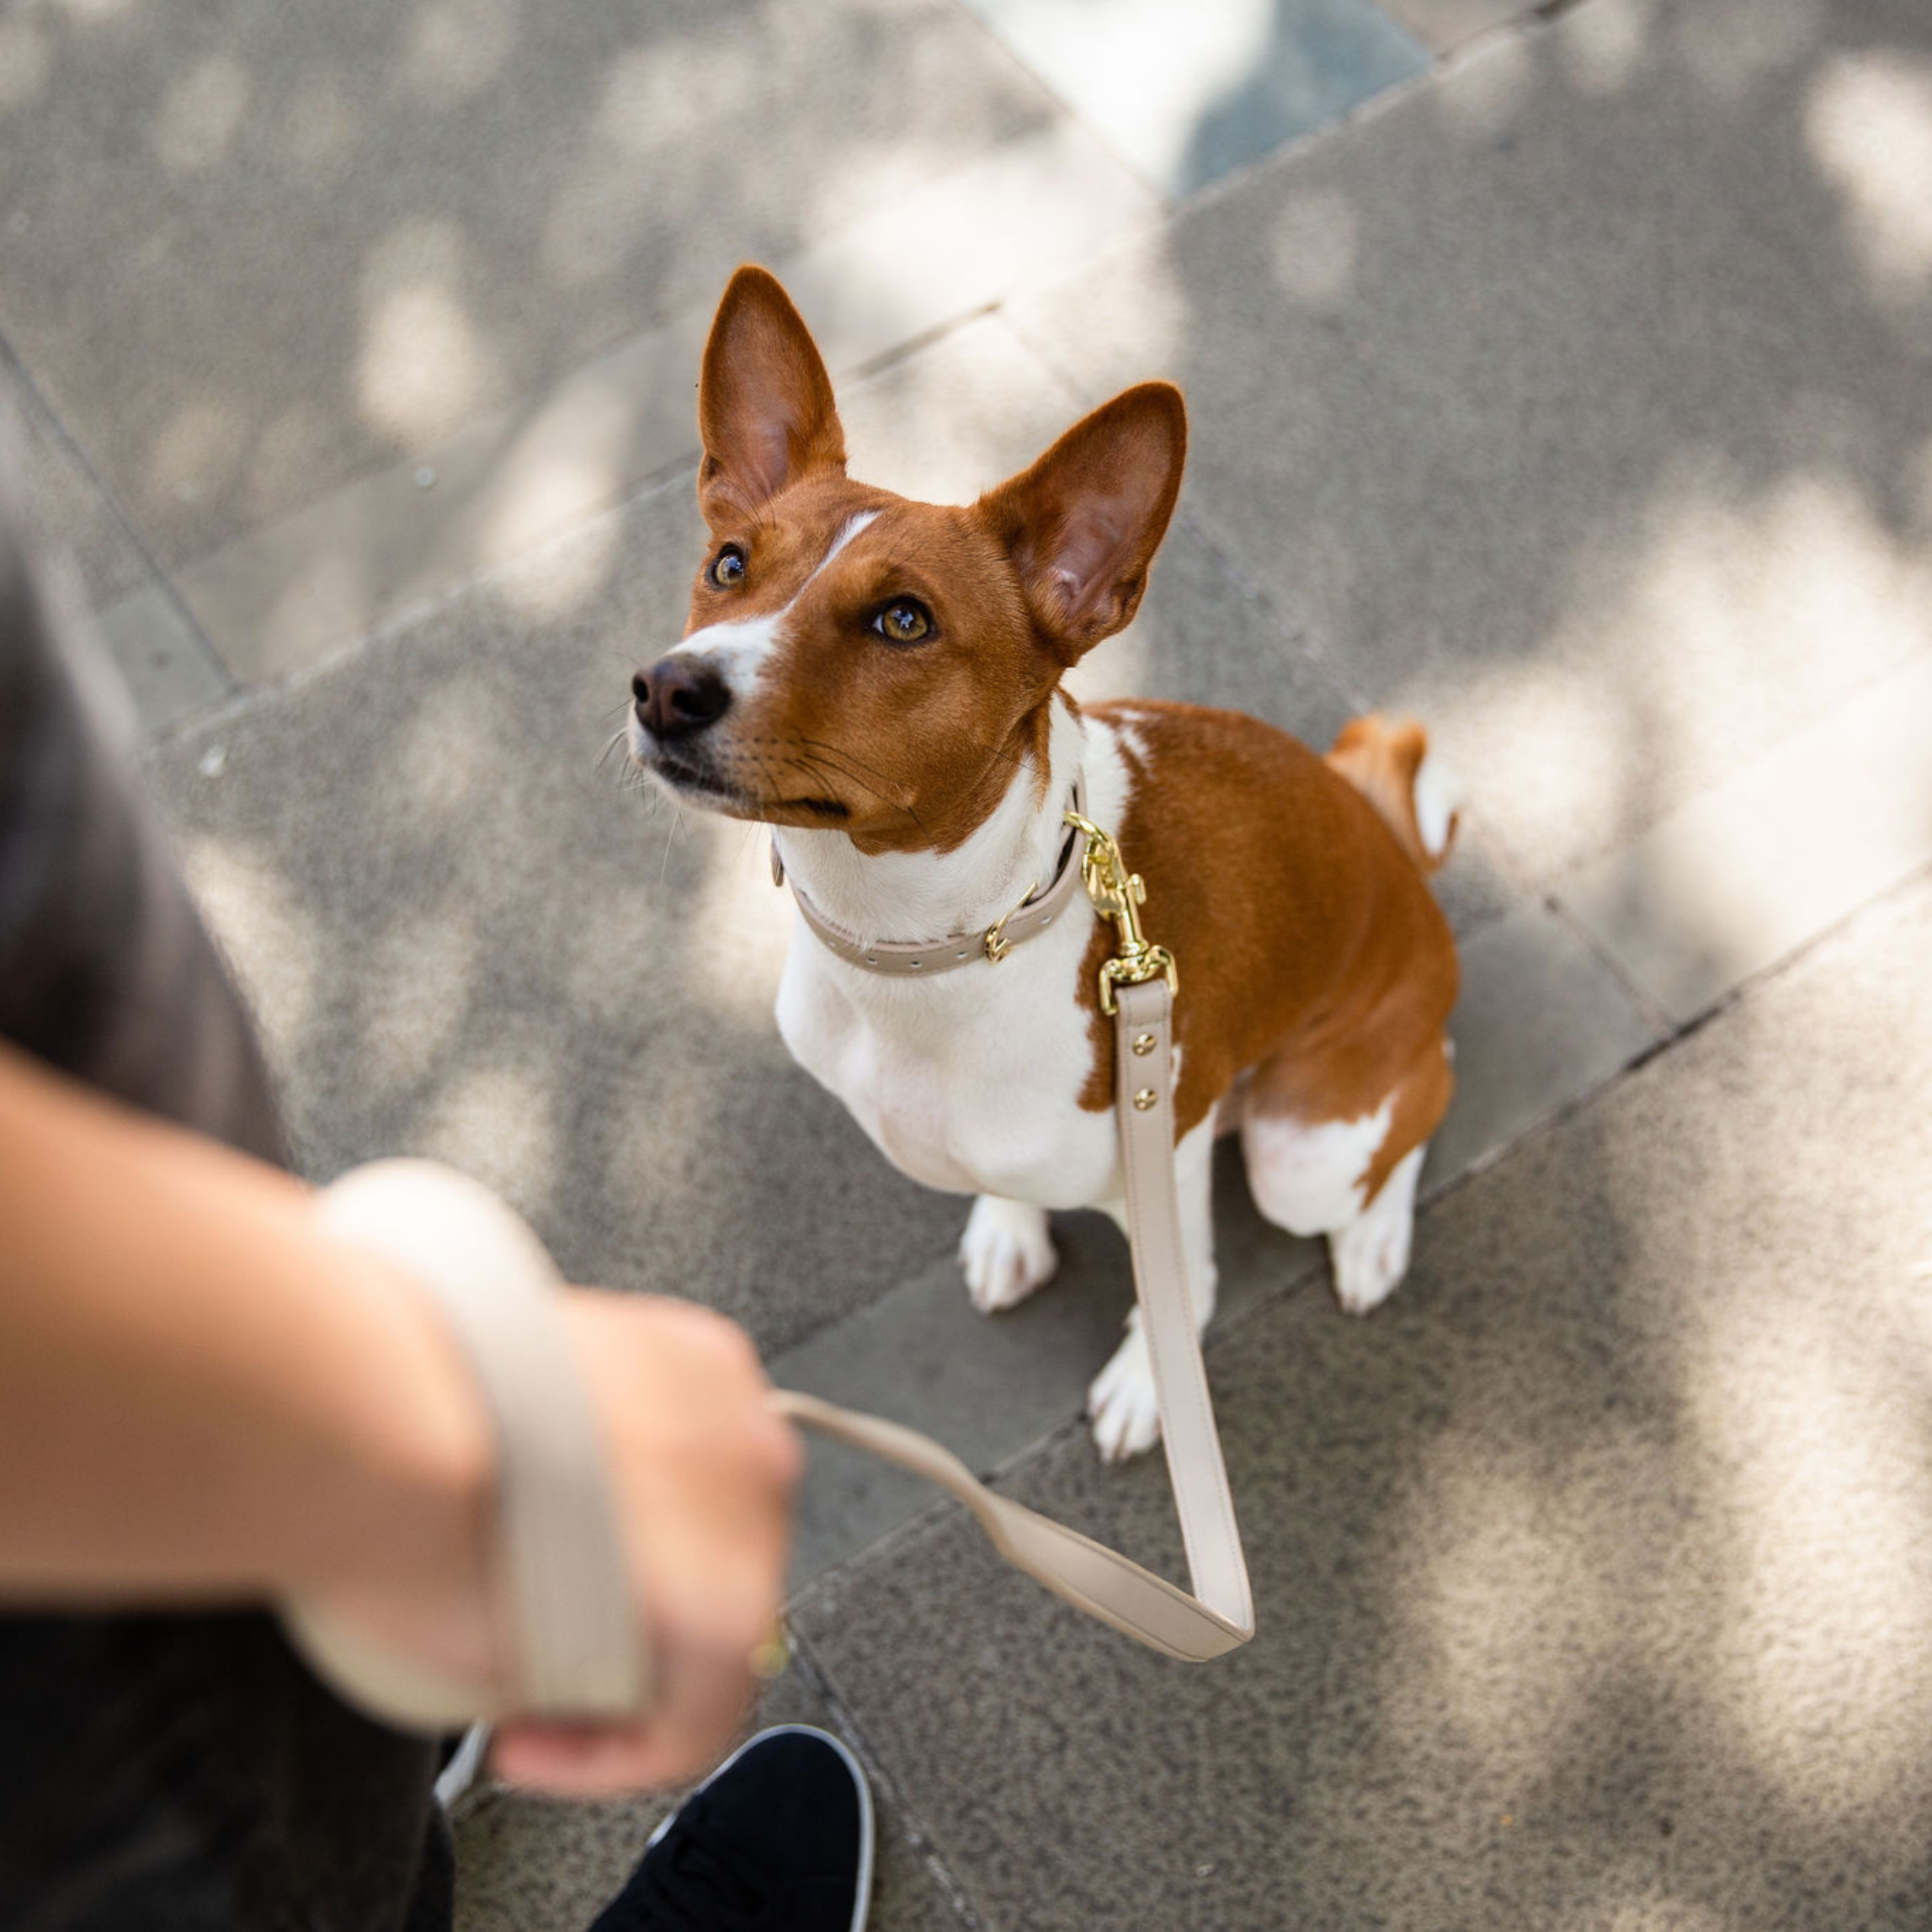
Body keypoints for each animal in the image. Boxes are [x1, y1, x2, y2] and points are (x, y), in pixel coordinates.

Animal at [625, 264, 1452, 1452]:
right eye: (727, 565)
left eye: (904, 620)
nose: (666, 688)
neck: (921, 949)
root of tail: (1395, 853)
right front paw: (1007, 1226)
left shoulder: (1170, 1157)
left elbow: (1179, 1297)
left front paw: (1151, 1385)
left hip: (1307, 1154)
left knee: (1420, 1108)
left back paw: (1377, 1236)